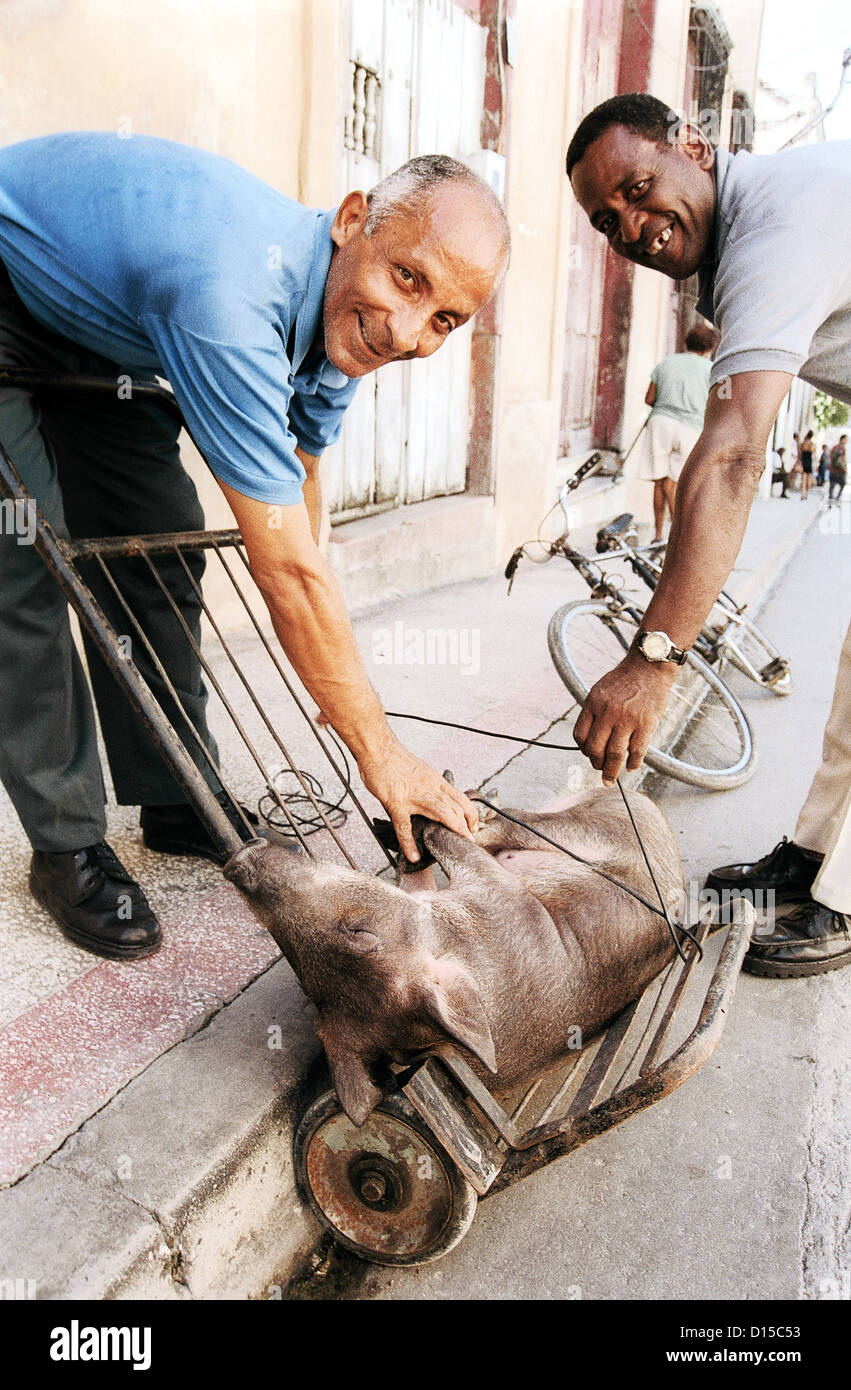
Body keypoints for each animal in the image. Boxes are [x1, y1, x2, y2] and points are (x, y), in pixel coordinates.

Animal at [223, 787, 685, 1126]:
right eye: (306, 979)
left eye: (358, 931)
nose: (236, 862)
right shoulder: (501, 896)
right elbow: (453, 844)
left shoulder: (488, 897)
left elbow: (422, 863)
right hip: (586, 824)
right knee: (501, 824)